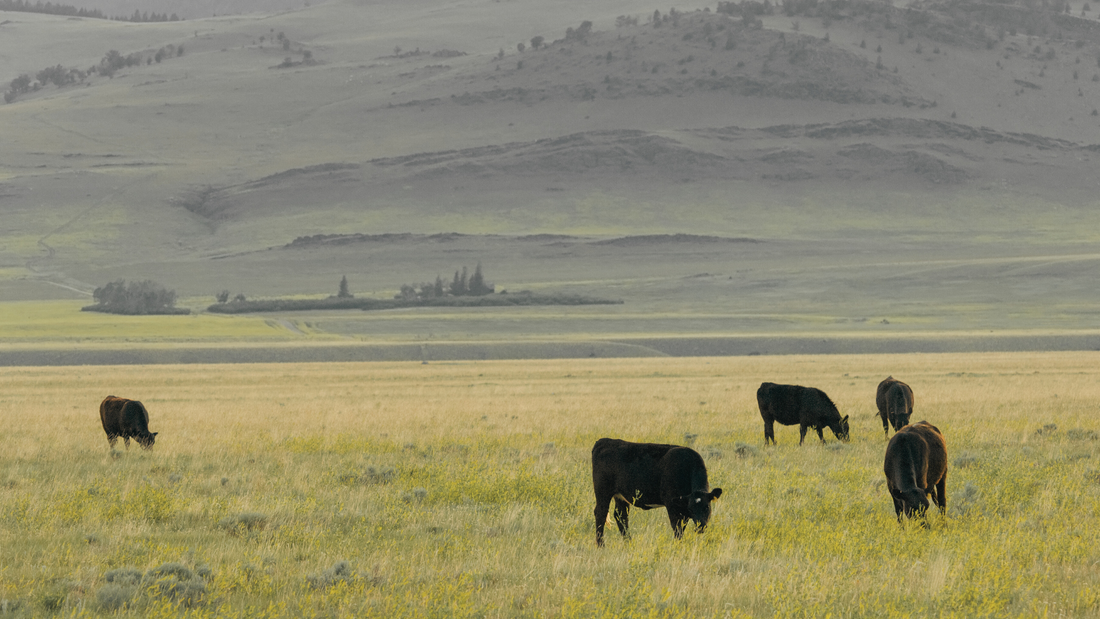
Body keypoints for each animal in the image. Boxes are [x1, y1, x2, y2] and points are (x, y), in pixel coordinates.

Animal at [591, 438, 722, 547]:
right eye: (691, 508)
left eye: (707, 507)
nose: (701, 526)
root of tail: (604, 441)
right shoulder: (672, 505)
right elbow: (677, 530)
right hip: (603, 492)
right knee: (601, 513)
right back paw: (601, 545)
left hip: (621, 496)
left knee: (621, 515)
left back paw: (629, 542)